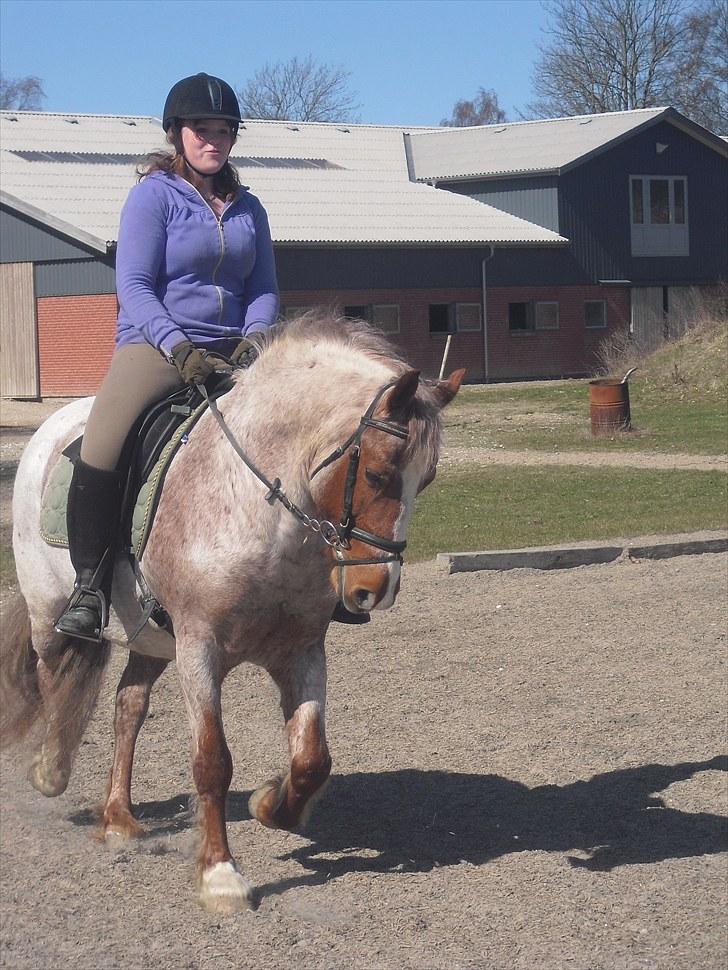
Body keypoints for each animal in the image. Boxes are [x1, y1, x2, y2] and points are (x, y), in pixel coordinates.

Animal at [1, 312, 463, 913]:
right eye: (379, 473)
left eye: (426, 480)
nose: (374, 591)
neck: (267, 517)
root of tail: (50, 427)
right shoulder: (201, 648)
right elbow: (212, 760)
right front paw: (220, 874)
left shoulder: (300, 651)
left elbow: (312, 759)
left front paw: (271, 804)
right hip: (50, 609)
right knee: (53, 676)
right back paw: (51, 770)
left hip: (153, 637)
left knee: (128, 706)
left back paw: (119, 816)